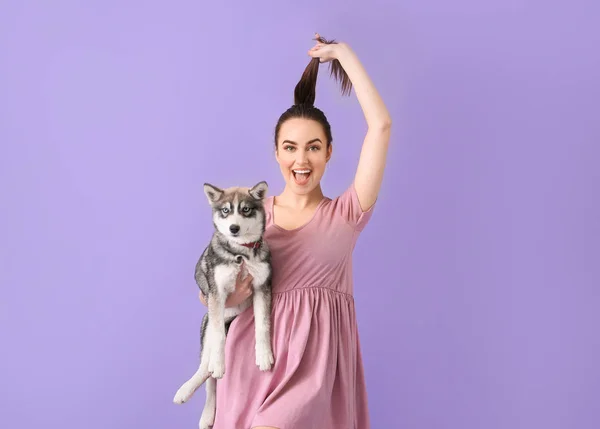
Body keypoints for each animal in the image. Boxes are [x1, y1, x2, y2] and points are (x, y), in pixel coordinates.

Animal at [172, 181, 274, 428]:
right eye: (226, 211)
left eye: (245, 209)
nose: (234, 228)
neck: (241, 253)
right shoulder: (217, 293)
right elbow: (218, 339)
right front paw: (219, 364)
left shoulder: (262, 287)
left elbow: (262, 326)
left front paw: (264, 355)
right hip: (207, 325)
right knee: (207, 371)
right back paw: (192, 396)